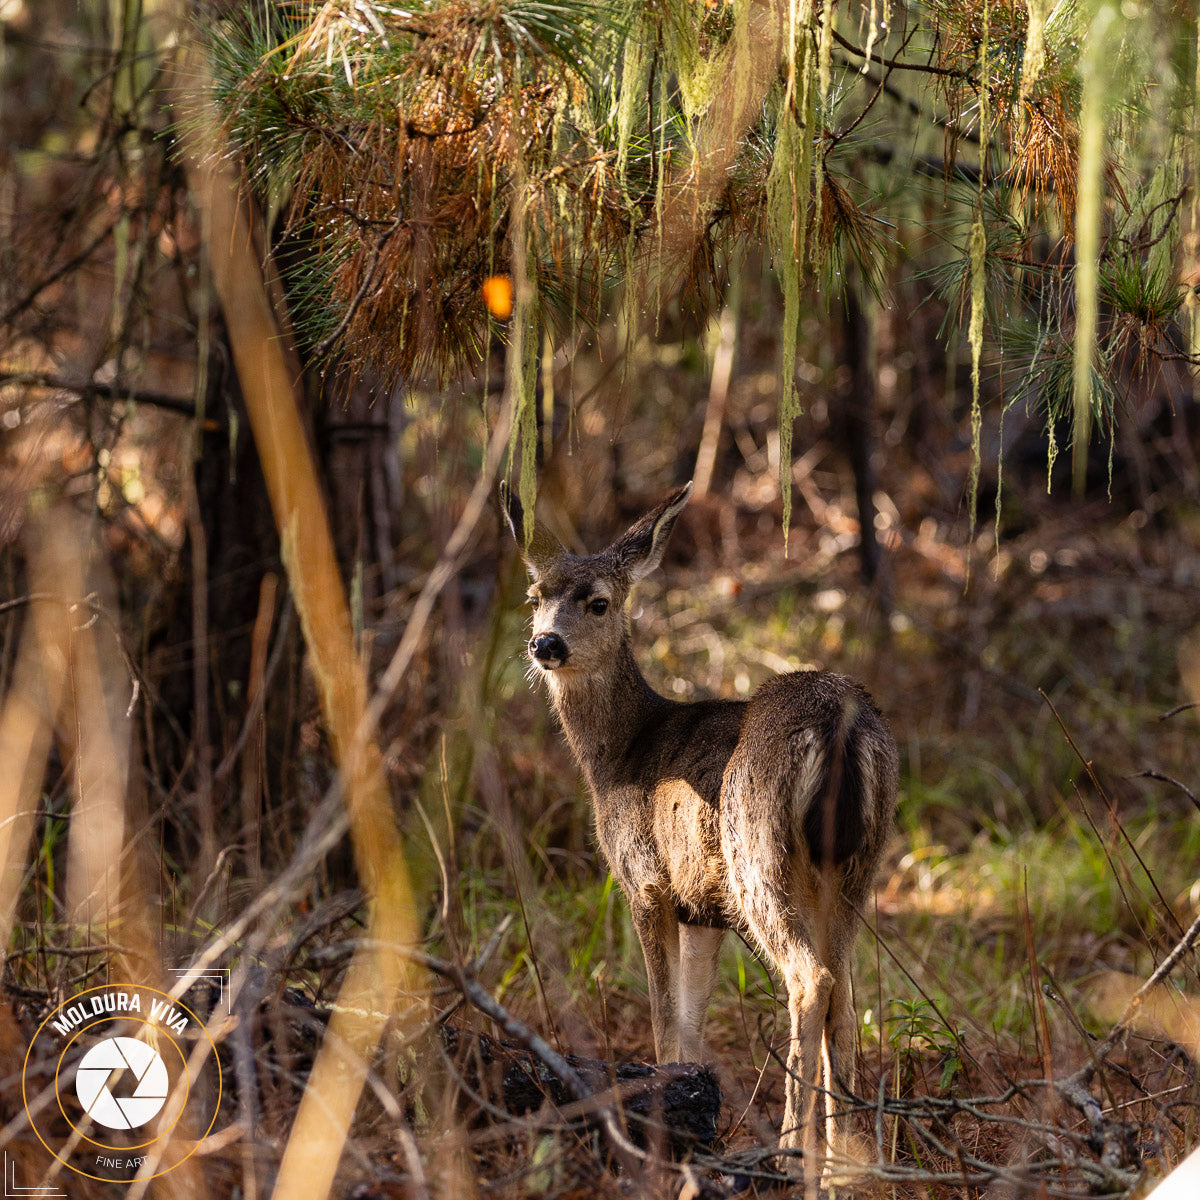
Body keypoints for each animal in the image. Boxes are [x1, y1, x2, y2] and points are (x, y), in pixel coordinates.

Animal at [499, 477, 902, 1180]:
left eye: (599, 602)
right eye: (535, 596)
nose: (546, 645)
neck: (620, 756)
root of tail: (840, 725)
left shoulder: (647, 881)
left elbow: (665, 1021)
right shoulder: (703, 909)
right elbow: (691, 1023)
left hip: (758, 852)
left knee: (810, 980)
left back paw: (789, 1152)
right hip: (855, 863)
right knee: (847, 998)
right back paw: (843, 1162)